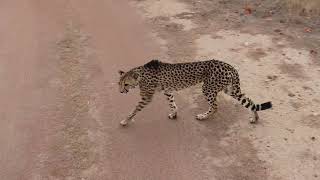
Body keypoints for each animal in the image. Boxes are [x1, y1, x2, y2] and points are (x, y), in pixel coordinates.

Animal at [118, 59, 272, 125]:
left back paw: (203, 116)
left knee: (215, 107)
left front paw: (125, 120)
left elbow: (134, 109)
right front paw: (174, 114)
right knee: (250, 101)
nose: (120, 92)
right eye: (119, 84)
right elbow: (172, 103)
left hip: (208, 88)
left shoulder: (146, 97)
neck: (140, 74)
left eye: (126, 84)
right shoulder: (168, 91)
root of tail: (229, 66)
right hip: (230, 89)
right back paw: (255, 118)